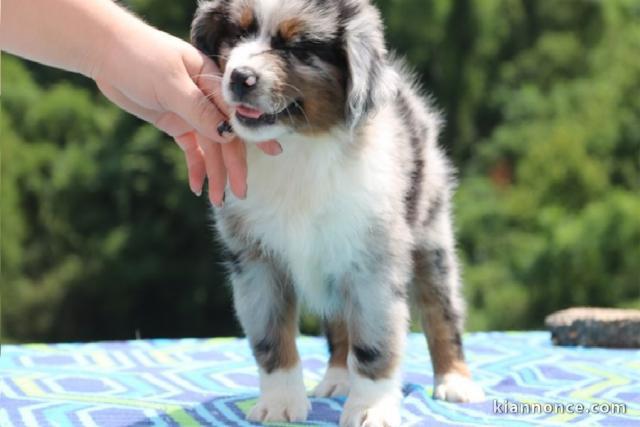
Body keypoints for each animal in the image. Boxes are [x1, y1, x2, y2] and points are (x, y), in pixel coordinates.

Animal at [190, 1, 484, 426]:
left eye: (296, 48)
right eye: (237, 34)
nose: (240, 77)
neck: (297, 146)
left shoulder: (373, 262)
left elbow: (375, 344)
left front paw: (370, 409)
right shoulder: (255, 260)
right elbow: (271, 338)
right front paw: (280, 403)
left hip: (430, 233)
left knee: (440, 310)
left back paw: (455, 380)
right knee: (342, 322)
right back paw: (338, 379)